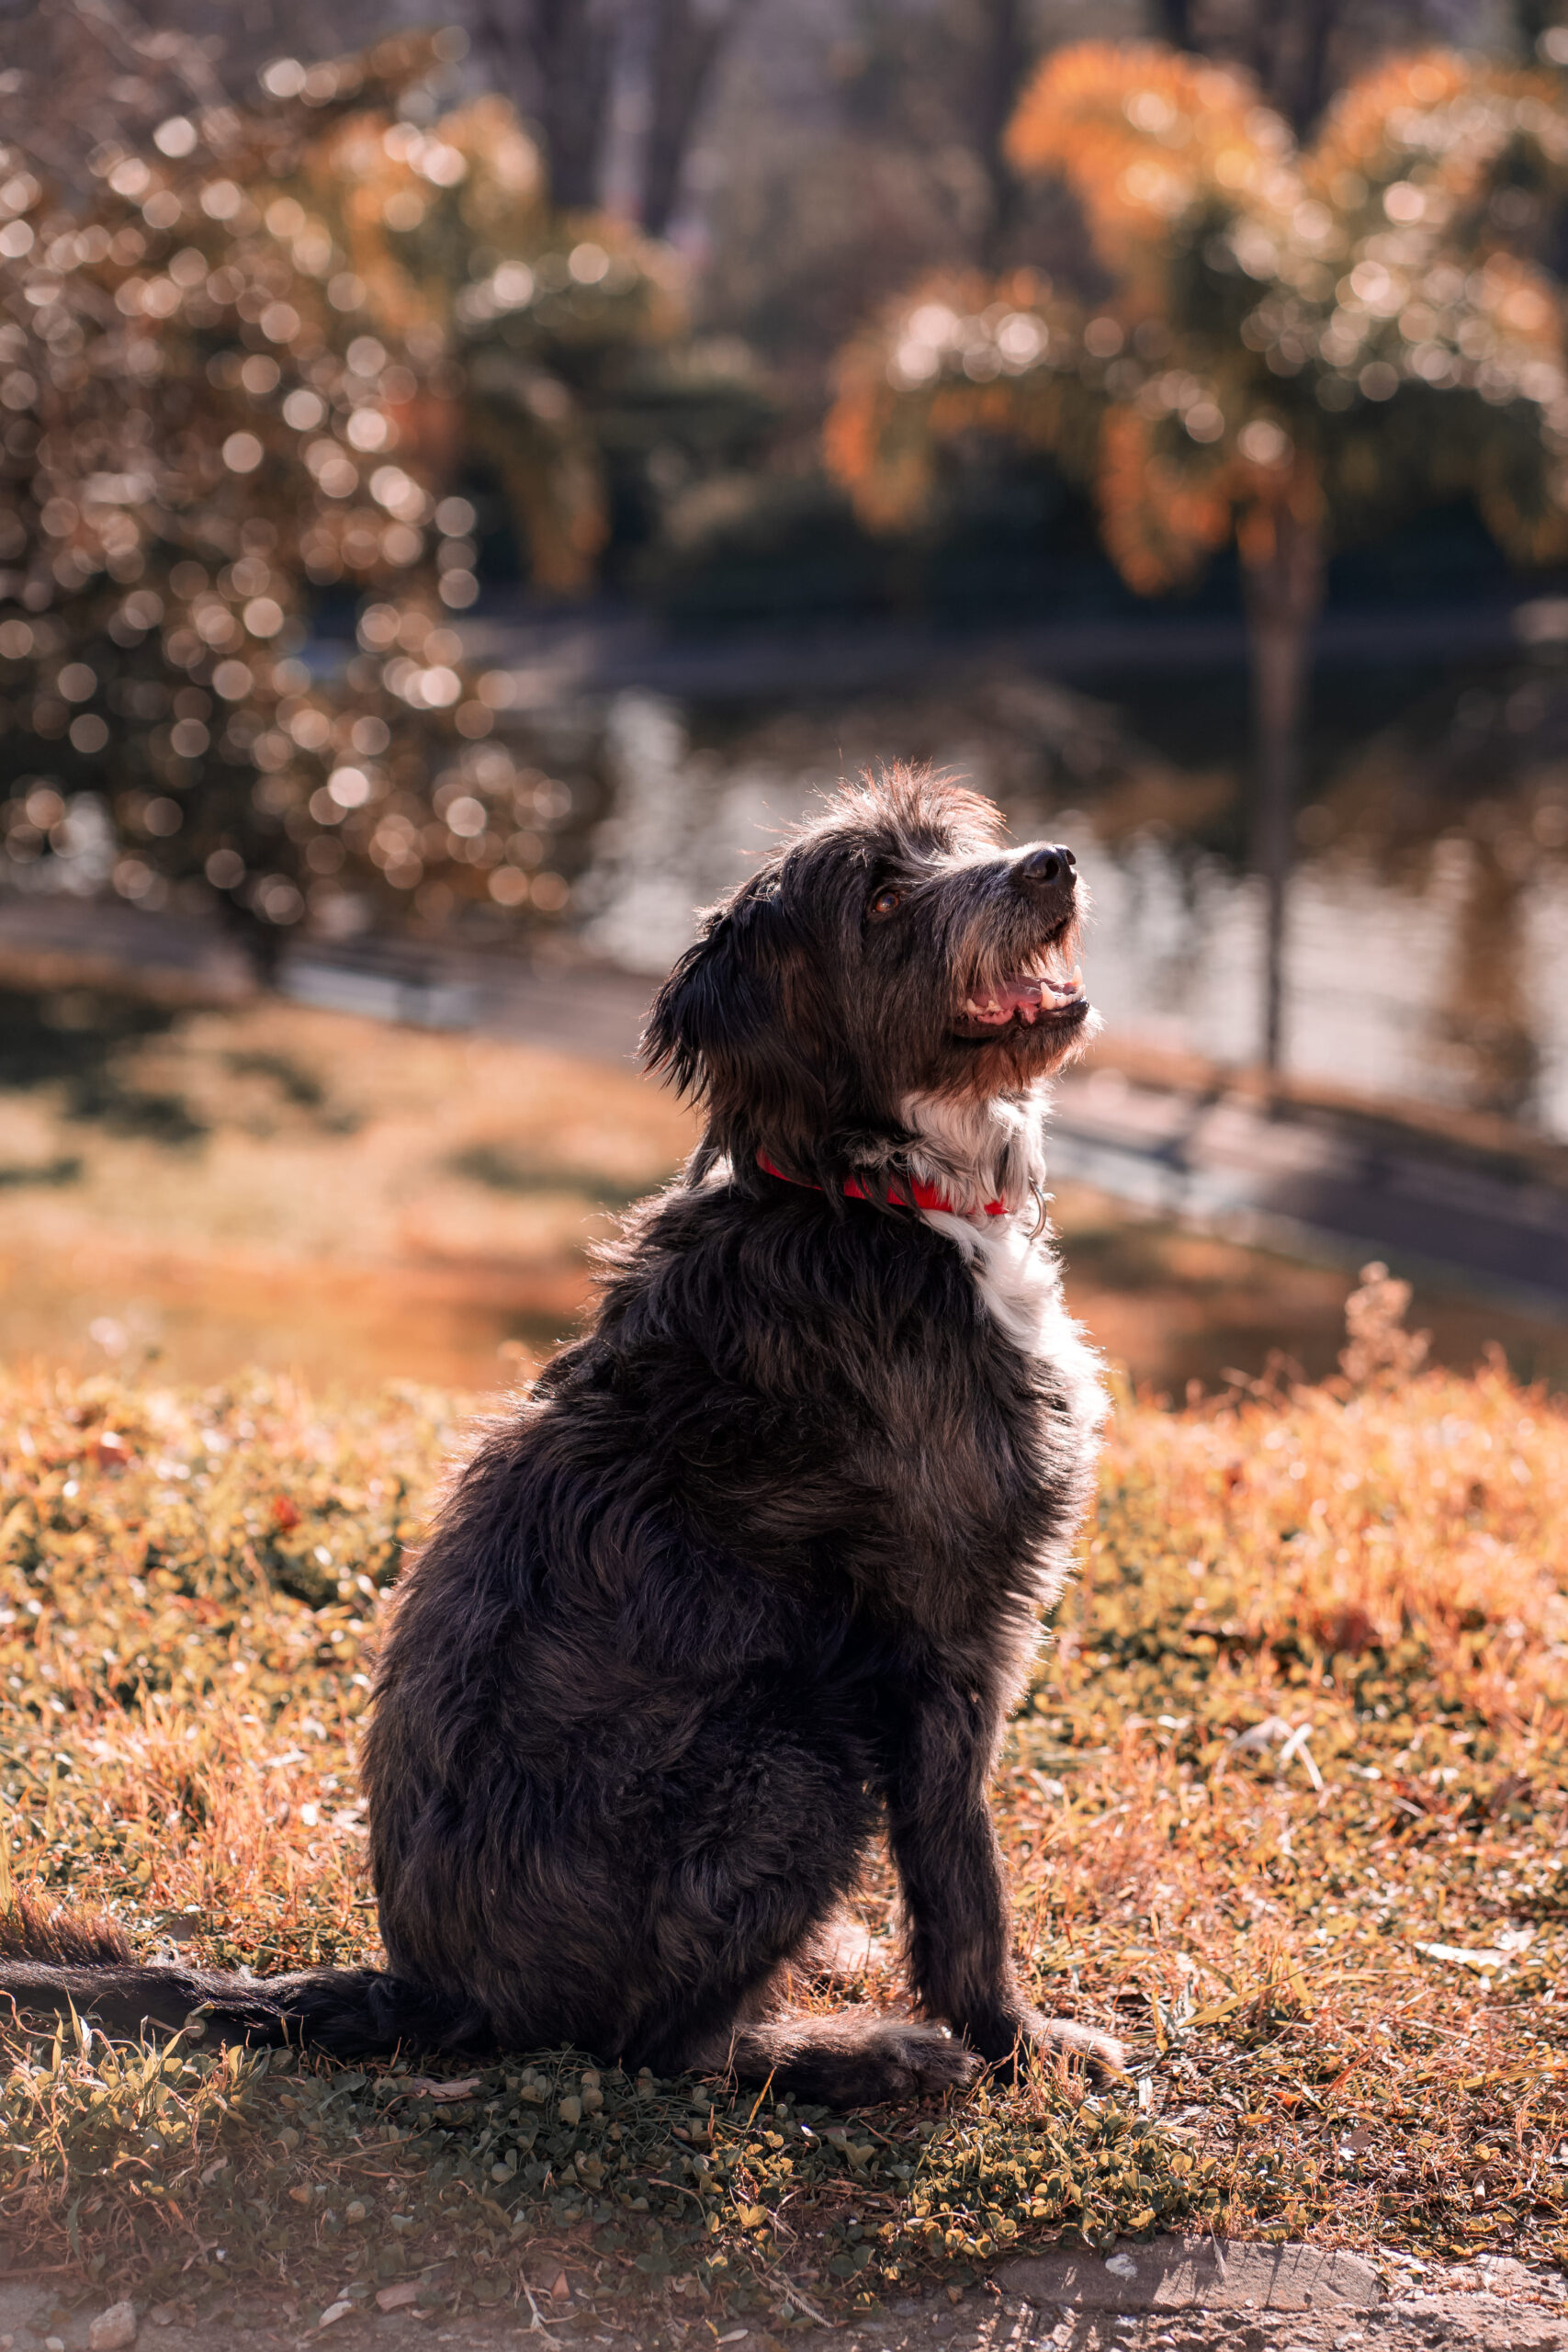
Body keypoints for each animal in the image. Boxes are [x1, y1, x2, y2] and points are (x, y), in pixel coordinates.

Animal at [3, 771, 1128, 2117]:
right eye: (882, 898)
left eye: (956, 840)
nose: (1055, 863)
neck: (873, 1195)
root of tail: (432, 1987)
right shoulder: (953, 1633)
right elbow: (964, 1883)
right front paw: (1018, 2042)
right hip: (801, 1748)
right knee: (664, 2044)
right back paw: (855, 2051)